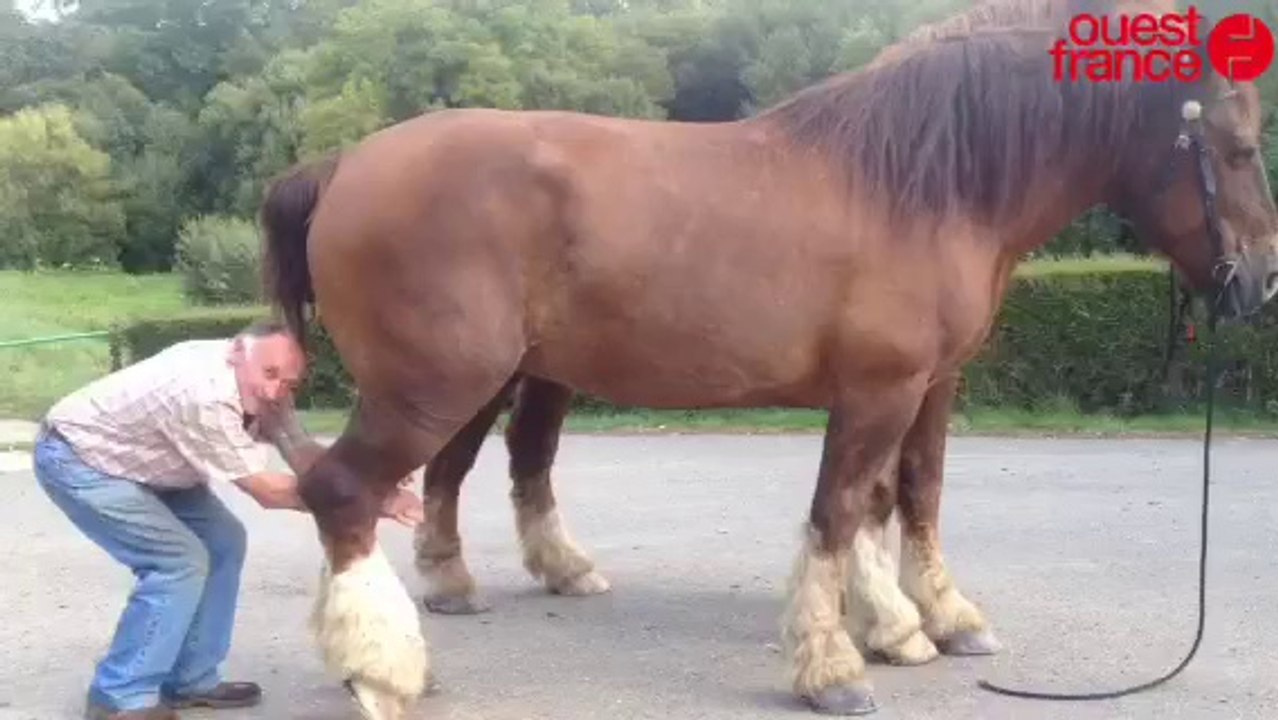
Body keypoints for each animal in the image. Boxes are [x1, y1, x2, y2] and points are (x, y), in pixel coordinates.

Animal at [257, 0, 1278, 714]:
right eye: (1236, 146)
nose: (1261, 282)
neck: (923, 185)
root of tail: (343, 164)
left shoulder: (928, 388)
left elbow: (906, 499)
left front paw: (923, 623)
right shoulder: (877, 391)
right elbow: (839, 513)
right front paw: (834, 667)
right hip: (433, 387)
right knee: (345, 492)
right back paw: (381, 670)